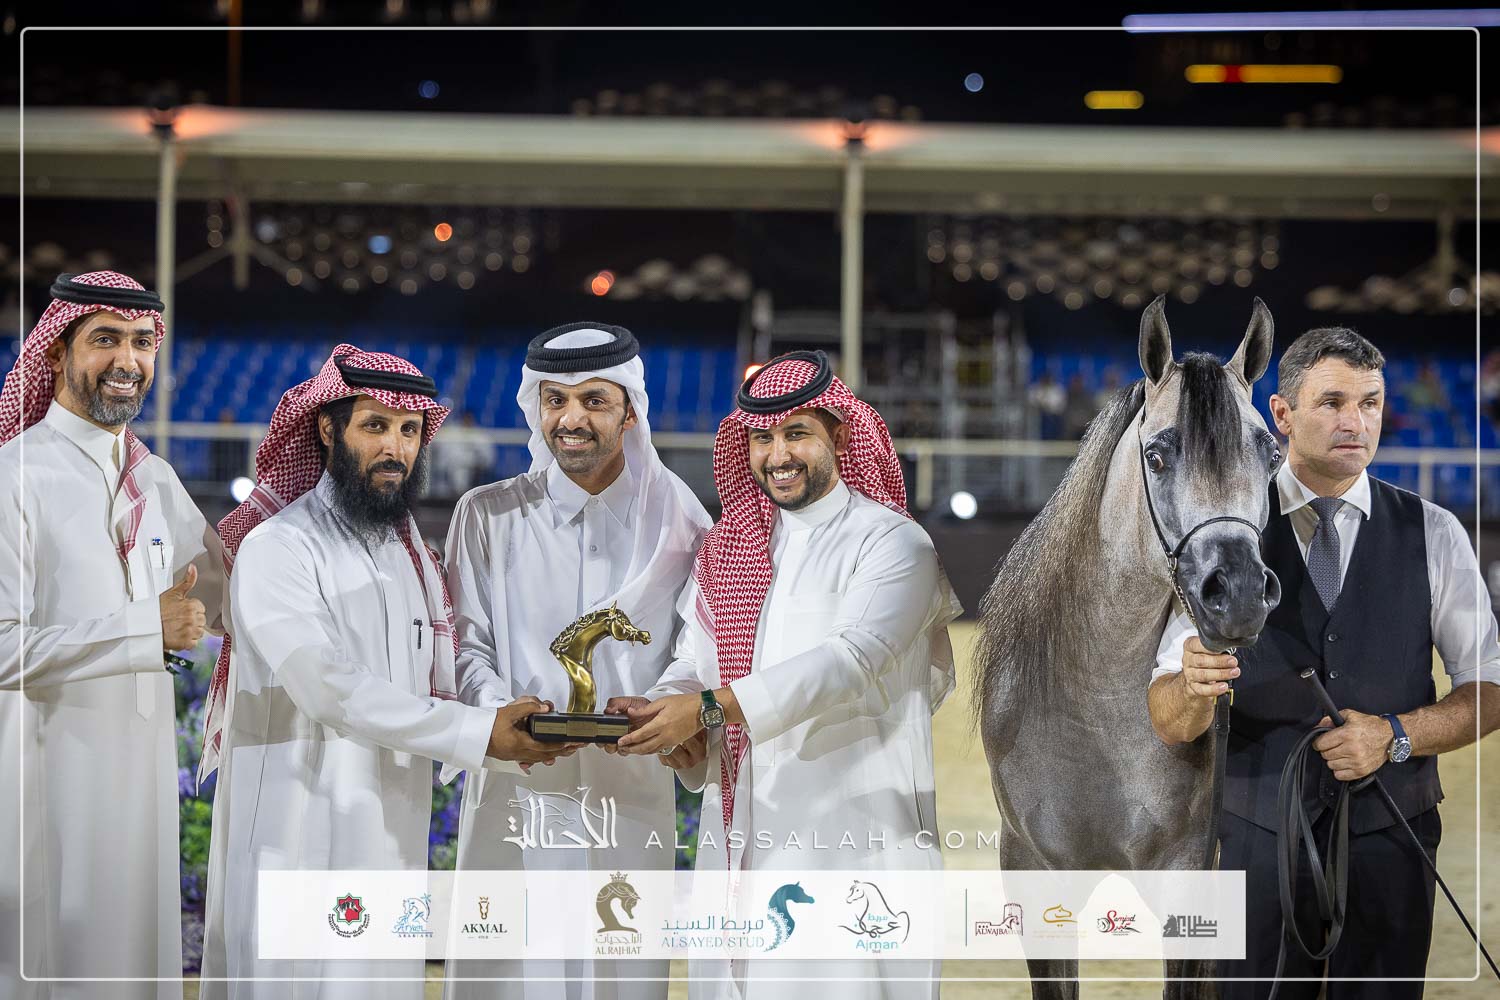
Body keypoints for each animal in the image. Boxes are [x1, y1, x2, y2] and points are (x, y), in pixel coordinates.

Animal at [974, 296, 1282, 1000]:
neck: (1096, 708)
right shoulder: (1034, 874)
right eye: (1158, 456)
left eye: (1272, 456)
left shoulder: (1192, 878)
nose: (1239, 594)